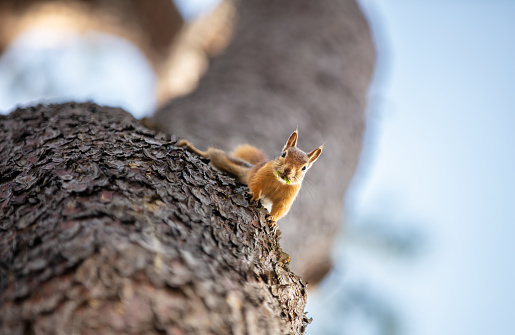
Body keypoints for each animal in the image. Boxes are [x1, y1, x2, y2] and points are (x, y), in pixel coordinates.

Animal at [178, 130, 322, 224]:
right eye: (283, 154)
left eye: (304, 168)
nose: (287, 171)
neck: (279, 181)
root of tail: (251, 166)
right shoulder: (260, 174)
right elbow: (255, 183)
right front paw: (254, 195)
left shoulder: (289, 196)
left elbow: (281, 208)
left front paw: (273, 220)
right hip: (227, 162)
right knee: (212, 154)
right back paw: (190, 146)